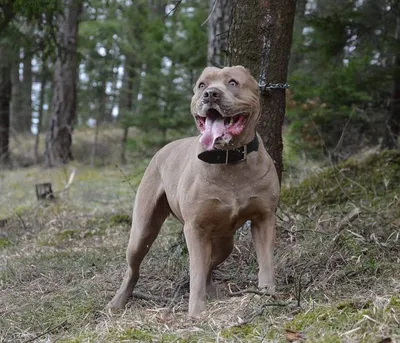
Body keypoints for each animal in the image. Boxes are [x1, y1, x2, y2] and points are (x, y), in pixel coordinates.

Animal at [108, 66, 280, 318]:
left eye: (233, 82)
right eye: (201, 85)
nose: (211, 94)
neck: (229, 160)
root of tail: (163, 148)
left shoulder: (264, 218)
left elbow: (266, 261)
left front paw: (268, 294)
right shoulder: (195, 227)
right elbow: (196, 270)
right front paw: (197, 312)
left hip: (224, 241)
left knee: (211, 261)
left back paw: (213, 292)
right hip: (142, 230)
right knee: (134, 267)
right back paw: (118, 300)